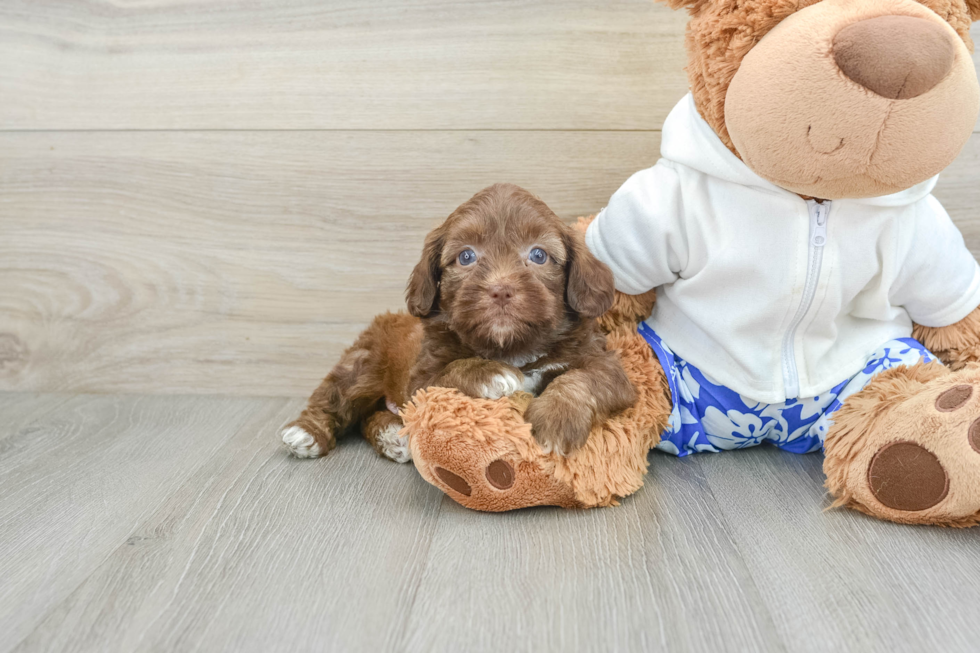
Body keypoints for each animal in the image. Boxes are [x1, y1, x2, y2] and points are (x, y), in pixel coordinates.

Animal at [280, 181, 640, 460]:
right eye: (466, 256)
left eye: (539, 254)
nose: (500, 290)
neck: (512, 348)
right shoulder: (420, 381)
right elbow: (451, 370)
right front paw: (490, 374)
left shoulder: (607, 366)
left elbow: (583, 379)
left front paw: (556, 418)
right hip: (363, 363)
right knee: (335, 396)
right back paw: (306, 432)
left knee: (370, 415)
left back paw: (393, 437)